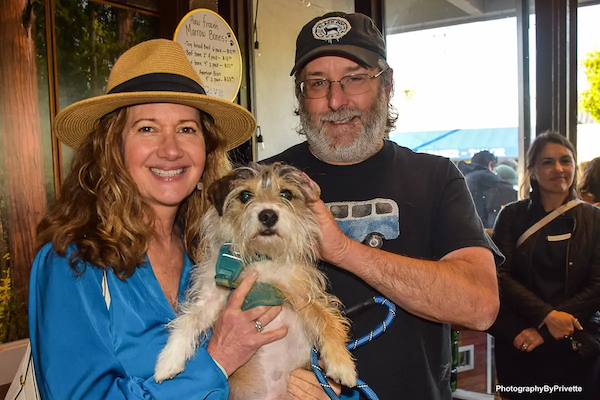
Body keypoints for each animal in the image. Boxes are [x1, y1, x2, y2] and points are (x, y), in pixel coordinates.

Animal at [152, 162, 356, 396]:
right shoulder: (213, 295)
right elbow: (189, 319)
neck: (259, 257)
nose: (268, 215)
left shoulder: (303, 293)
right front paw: (168, 360)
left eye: (286, 194)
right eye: (245, 195)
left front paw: (342, 366)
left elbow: (328, 320)